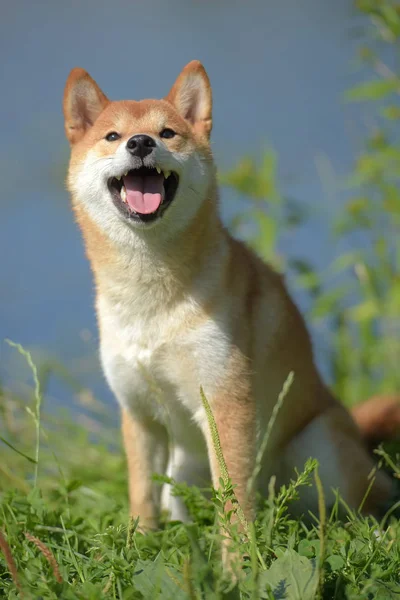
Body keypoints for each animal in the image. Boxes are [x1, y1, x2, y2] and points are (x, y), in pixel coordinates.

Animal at [63, 59, 394, 528]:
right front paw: (140, 540)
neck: (151, 297)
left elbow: (234, 500)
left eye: (168, 132)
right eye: (112, 136)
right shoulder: (140, 415)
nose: (140, 142)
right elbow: (141, 494)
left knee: (362, 503)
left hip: (317, 449)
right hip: (183, 466)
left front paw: (237, 553)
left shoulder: (225, 404)